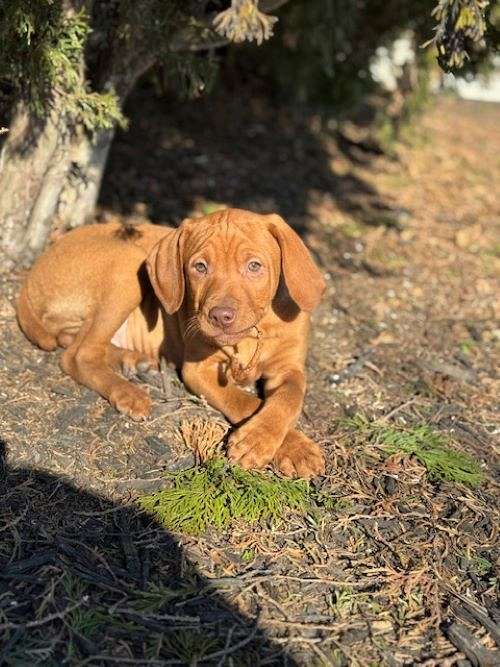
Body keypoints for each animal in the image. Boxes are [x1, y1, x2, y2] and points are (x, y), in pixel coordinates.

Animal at [16, 211, 324, 478]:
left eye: (254, 266)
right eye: (200, 267)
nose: (220, 316)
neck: (253, 333)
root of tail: (32, 275)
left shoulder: (290, 369)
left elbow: (288, 398)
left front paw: (282, 444)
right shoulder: (199, 371)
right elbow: (245, 400)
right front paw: (270, 443)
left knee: (78, 341)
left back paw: (134, 360)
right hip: (128, 264)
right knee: (79, 355)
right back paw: (128, 393)